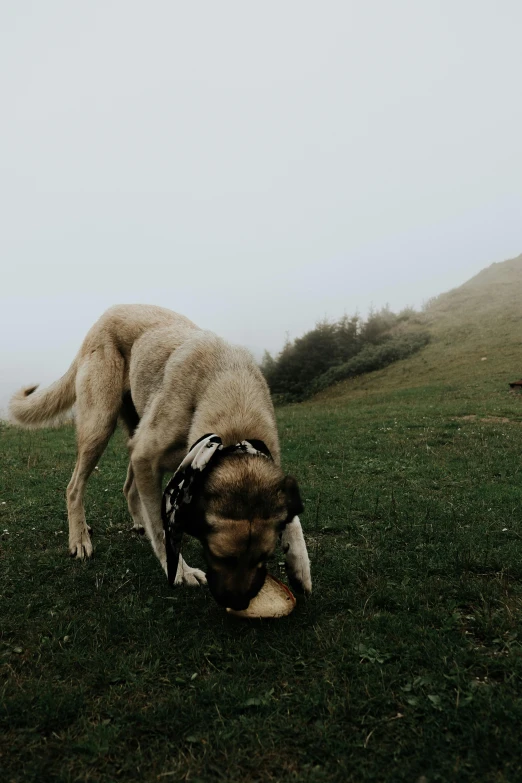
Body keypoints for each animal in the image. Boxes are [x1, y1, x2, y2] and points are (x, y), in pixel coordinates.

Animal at [10, 306, 310, 612]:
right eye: (219, 555)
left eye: (264, 557)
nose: (237, 604)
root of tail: (104, 316)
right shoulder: (147, 457)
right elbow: (163, 530)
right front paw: (180, 571)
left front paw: (300, 563)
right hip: (100, 426)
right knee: (74, 488)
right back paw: (80, 539)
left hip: (133, 431)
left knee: (128, 488)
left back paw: (134, 523)